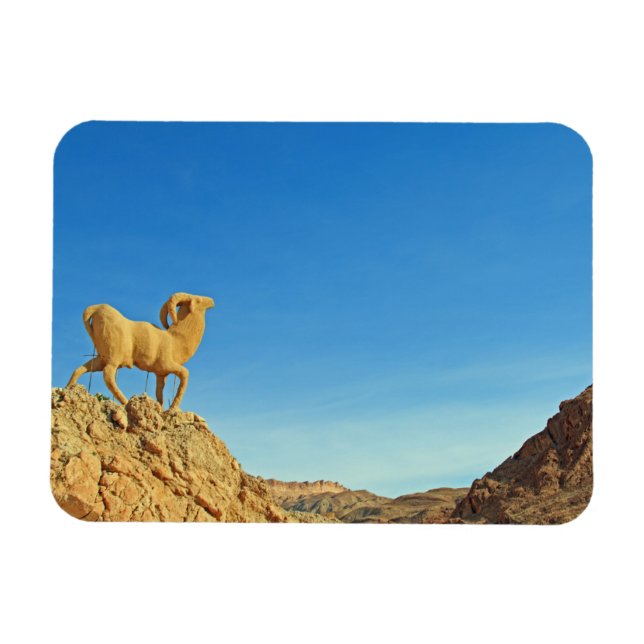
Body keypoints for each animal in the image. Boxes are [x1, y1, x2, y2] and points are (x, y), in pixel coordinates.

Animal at [66, 292, 215, 410]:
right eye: (198, 300)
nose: (211, 301)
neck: (176, 340)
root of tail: (96, 309)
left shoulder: (161, 374)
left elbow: (159, 393)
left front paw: (161, 409)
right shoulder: (168, 365)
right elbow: (185, 374)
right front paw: (172, 408)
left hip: (101, 358)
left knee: (81, 369)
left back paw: (69, 388)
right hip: (113, 358)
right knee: (108, 376)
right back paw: (125, 401)